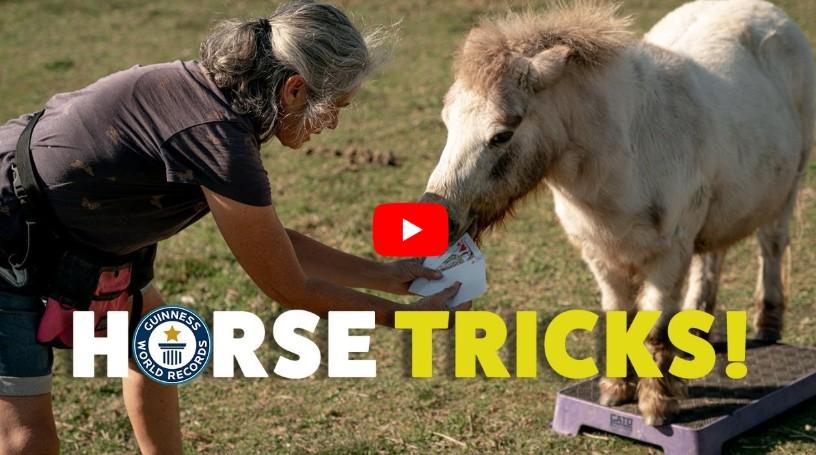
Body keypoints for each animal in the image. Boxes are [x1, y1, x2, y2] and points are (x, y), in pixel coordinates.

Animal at [420, 0, 814, 425]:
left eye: (502, 135)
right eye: (447, 123)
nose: (437, 218)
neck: (623, 156)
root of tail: (768, 12)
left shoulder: (667, 257)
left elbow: (655, 327)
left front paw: (657, 405)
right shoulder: (600, 255)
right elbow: (618, 318)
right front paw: (616, 390)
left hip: (786, 191)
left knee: (771, 246)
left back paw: (768, 324)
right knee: (712, 256)